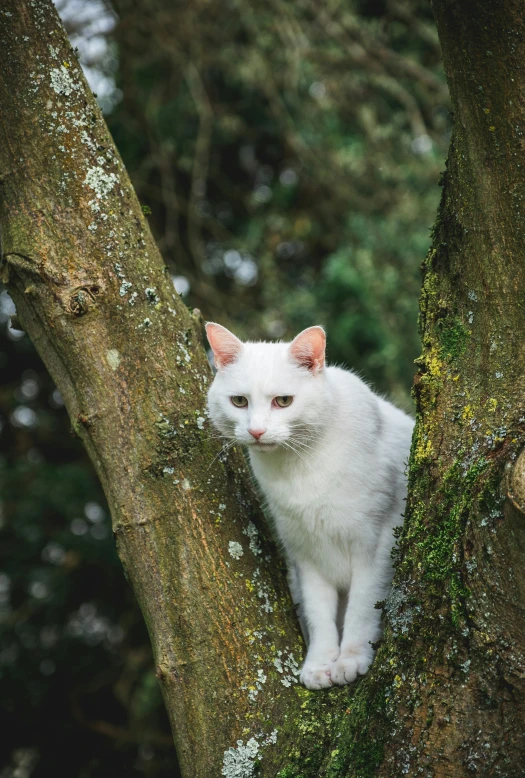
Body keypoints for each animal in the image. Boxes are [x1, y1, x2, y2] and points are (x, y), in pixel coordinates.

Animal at [205, 324, 414, 688]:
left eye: (283, 401)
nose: (256, 431)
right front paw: (319, 665)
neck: (299, 467)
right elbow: (318, 614)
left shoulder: (377, 543)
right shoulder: (304, 554)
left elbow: (362, 607)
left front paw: (350, 659)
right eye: (239, 401)